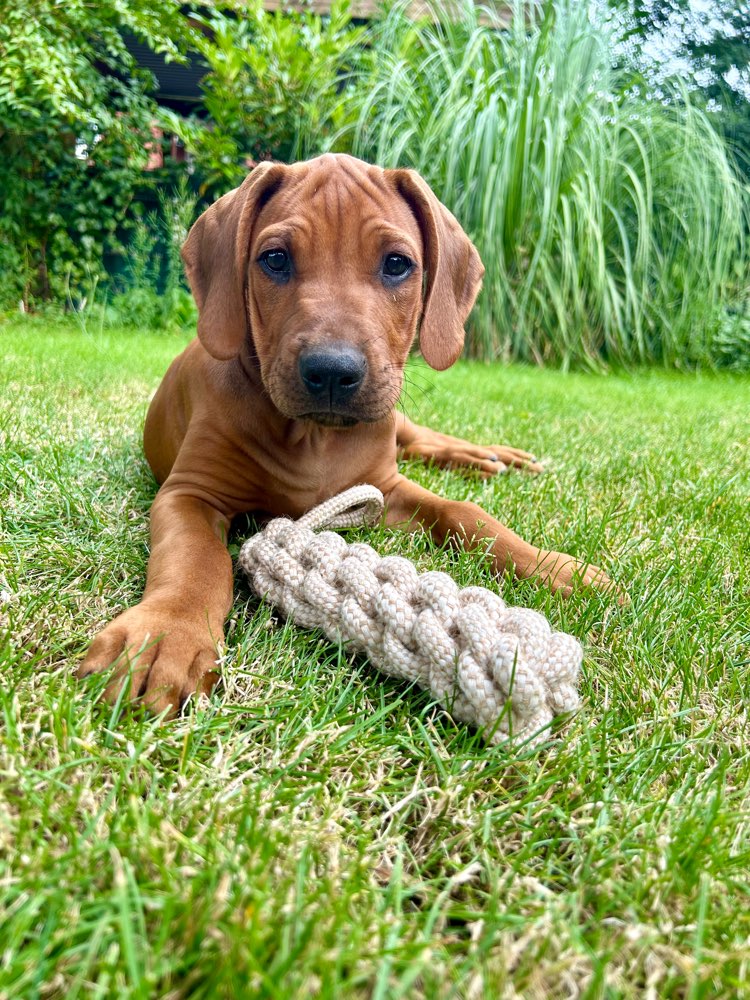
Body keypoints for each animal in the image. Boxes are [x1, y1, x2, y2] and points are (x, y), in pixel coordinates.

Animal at [78, 154, 616, 720]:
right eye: (274, 259)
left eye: (397, 264)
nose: (333, 371)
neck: (314, 439)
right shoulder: (189, 493)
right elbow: (196, 561)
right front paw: (164, 635)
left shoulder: (386, 485)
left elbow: (464, 513)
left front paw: (555, 567)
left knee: (424, 439)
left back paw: (493, 456)